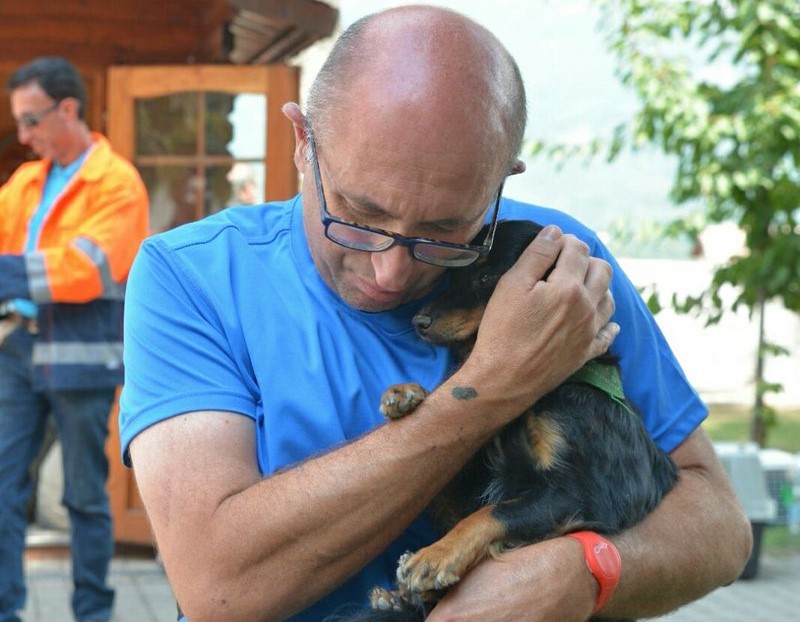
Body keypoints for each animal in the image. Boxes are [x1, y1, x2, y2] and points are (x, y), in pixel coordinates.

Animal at [340, 222, 680, 622]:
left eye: (486, 277)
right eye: (452, 277)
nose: (418, 322)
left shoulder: (590, 494)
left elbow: (494, 512)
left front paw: (435, 556)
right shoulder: (470, 477)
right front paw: (407, 394)